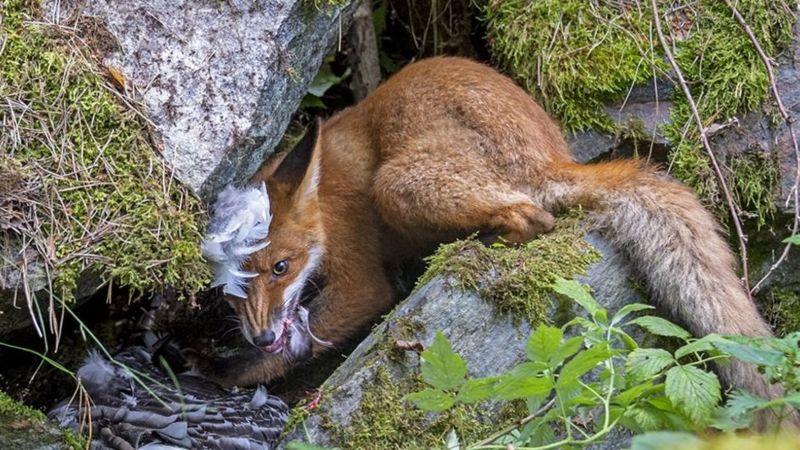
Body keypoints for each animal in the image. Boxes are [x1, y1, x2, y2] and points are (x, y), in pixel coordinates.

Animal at [200, 56, 780, 408]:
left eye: (282, 267)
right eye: (230, 291)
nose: (262, 335)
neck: (325, 203)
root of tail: (553, 156)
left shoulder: (362, 279)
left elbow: (303, 341)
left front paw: (227, 373)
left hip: (399, 184)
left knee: (535, 217)